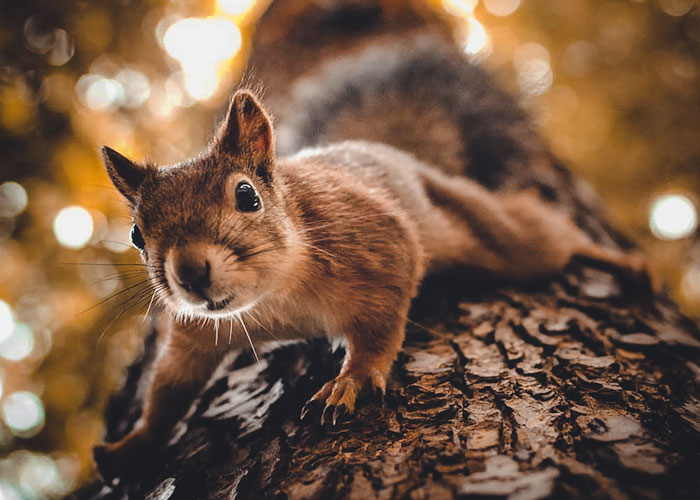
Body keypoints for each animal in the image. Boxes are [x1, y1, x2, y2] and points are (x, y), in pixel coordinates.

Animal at [93, 36, 656, 477]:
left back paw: (614, 260)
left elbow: (379, 326)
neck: (273, 297)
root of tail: (407, 157)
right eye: (137, 234)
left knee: (548, 237)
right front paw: (131, 447)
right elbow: (169, 388)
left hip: (498, 235)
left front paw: (353, 378)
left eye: (247, 196)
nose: (190, 274)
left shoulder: (379, 244)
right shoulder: (198, 331)